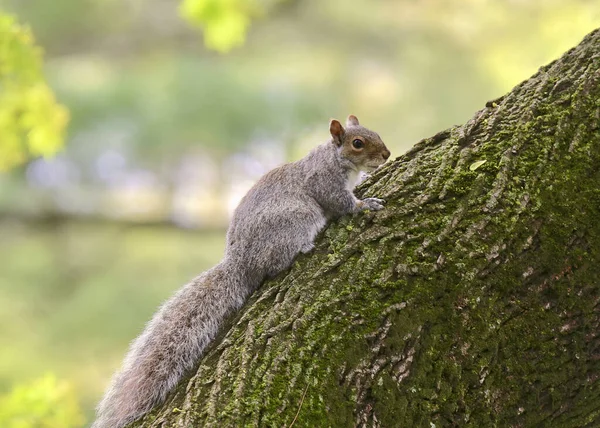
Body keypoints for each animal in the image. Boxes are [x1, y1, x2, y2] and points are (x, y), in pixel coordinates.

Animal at [91, 114, 392, 428]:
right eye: (357, 143)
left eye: (375, 132)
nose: (386, 154)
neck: (335, 158)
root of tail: (241, 263)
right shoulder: (325, 181)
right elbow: (341, 202)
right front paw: (365, 204)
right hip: (296, 220)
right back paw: (301, 249)